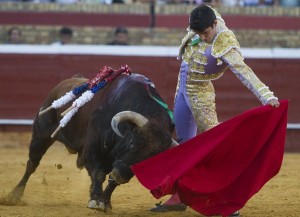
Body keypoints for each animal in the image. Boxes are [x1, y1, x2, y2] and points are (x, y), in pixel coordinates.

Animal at [4, 70, 176, 213]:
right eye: (132, 142)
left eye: (150, 160)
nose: (120, 175)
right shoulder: (92, 151)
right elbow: (98, 174)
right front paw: (96, 201)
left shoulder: (118, 163)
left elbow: (112, 182)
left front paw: (105, 202)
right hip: (41, 135)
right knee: (32, 164)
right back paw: (13, 196)